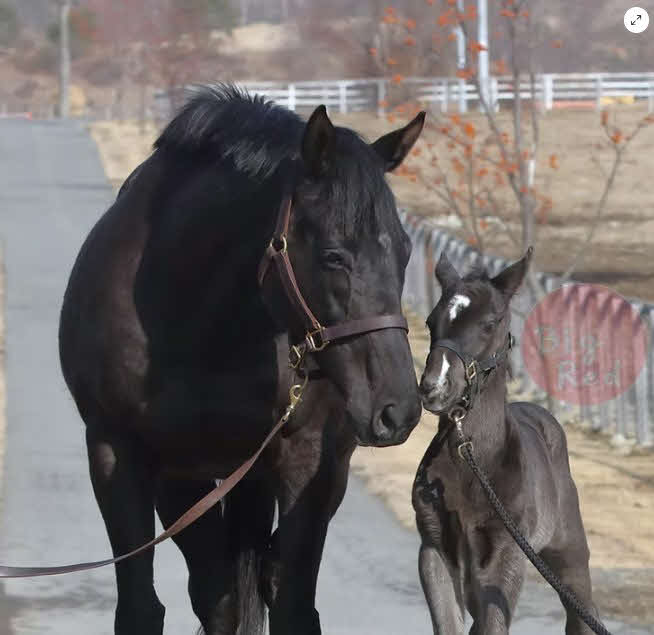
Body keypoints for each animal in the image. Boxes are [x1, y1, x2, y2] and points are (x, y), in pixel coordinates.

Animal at [58, 84, 424, 635]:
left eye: (404, 251)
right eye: (333, 255)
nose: (397, 409)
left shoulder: (306, 458)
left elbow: (291, 605)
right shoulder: (119, 452)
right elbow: (148, 607)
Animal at [412, 250, 599, 634]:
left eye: (489, 323)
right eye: (431, 321)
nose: (434, 387)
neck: (472, 462)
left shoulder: (507, 558)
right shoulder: (433, 549)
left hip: (569, 556)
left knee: (583, 611)